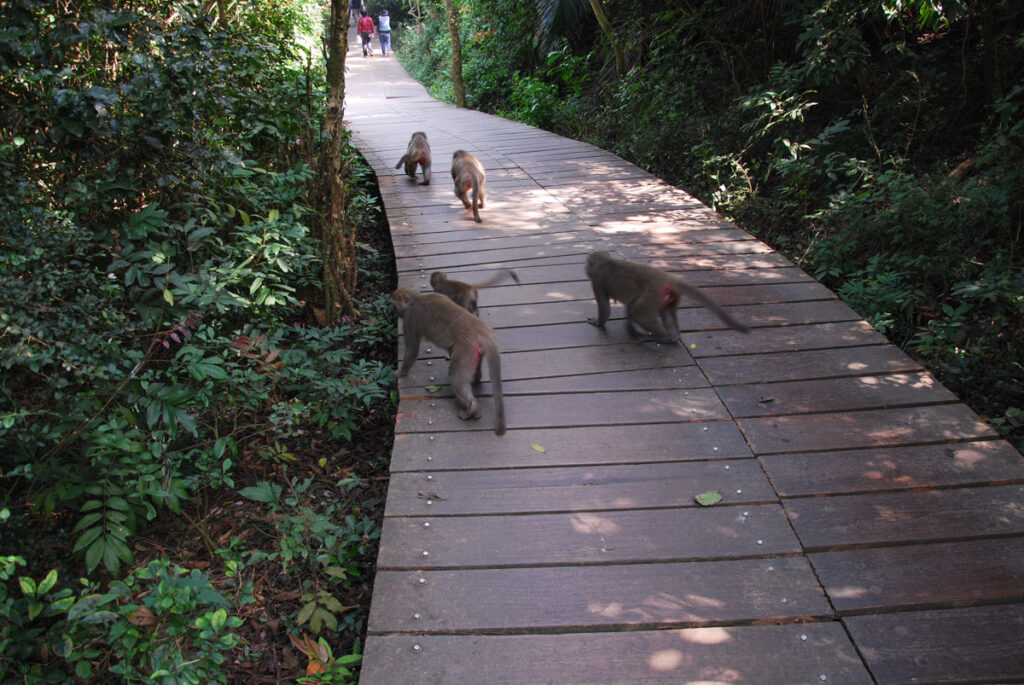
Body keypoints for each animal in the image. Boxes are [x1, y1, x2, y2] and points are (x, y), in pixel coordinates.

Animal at [391, 286, 506, 435]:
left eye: (395, 305)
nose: (396, 312)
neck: (417, 299)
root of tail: (482, 330)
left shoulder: (410, 318)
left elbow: (412, 349)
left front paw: (401, 372)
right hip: (475, 351)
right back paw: (476, 379)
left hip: (466, 351)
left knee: (456, 377)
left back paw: (471, 407)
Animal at [584, 250, 750, 344]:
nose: (586, 268)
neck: (604, 262)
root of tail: (669, 279)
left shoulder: (597, 280)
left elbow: (605, 307)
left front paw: (597, 322)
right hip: (670, 297)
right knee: (662, 313)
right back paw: (672, 337)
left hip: (653, 294)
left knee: (639, 312)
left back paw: (661, 337)